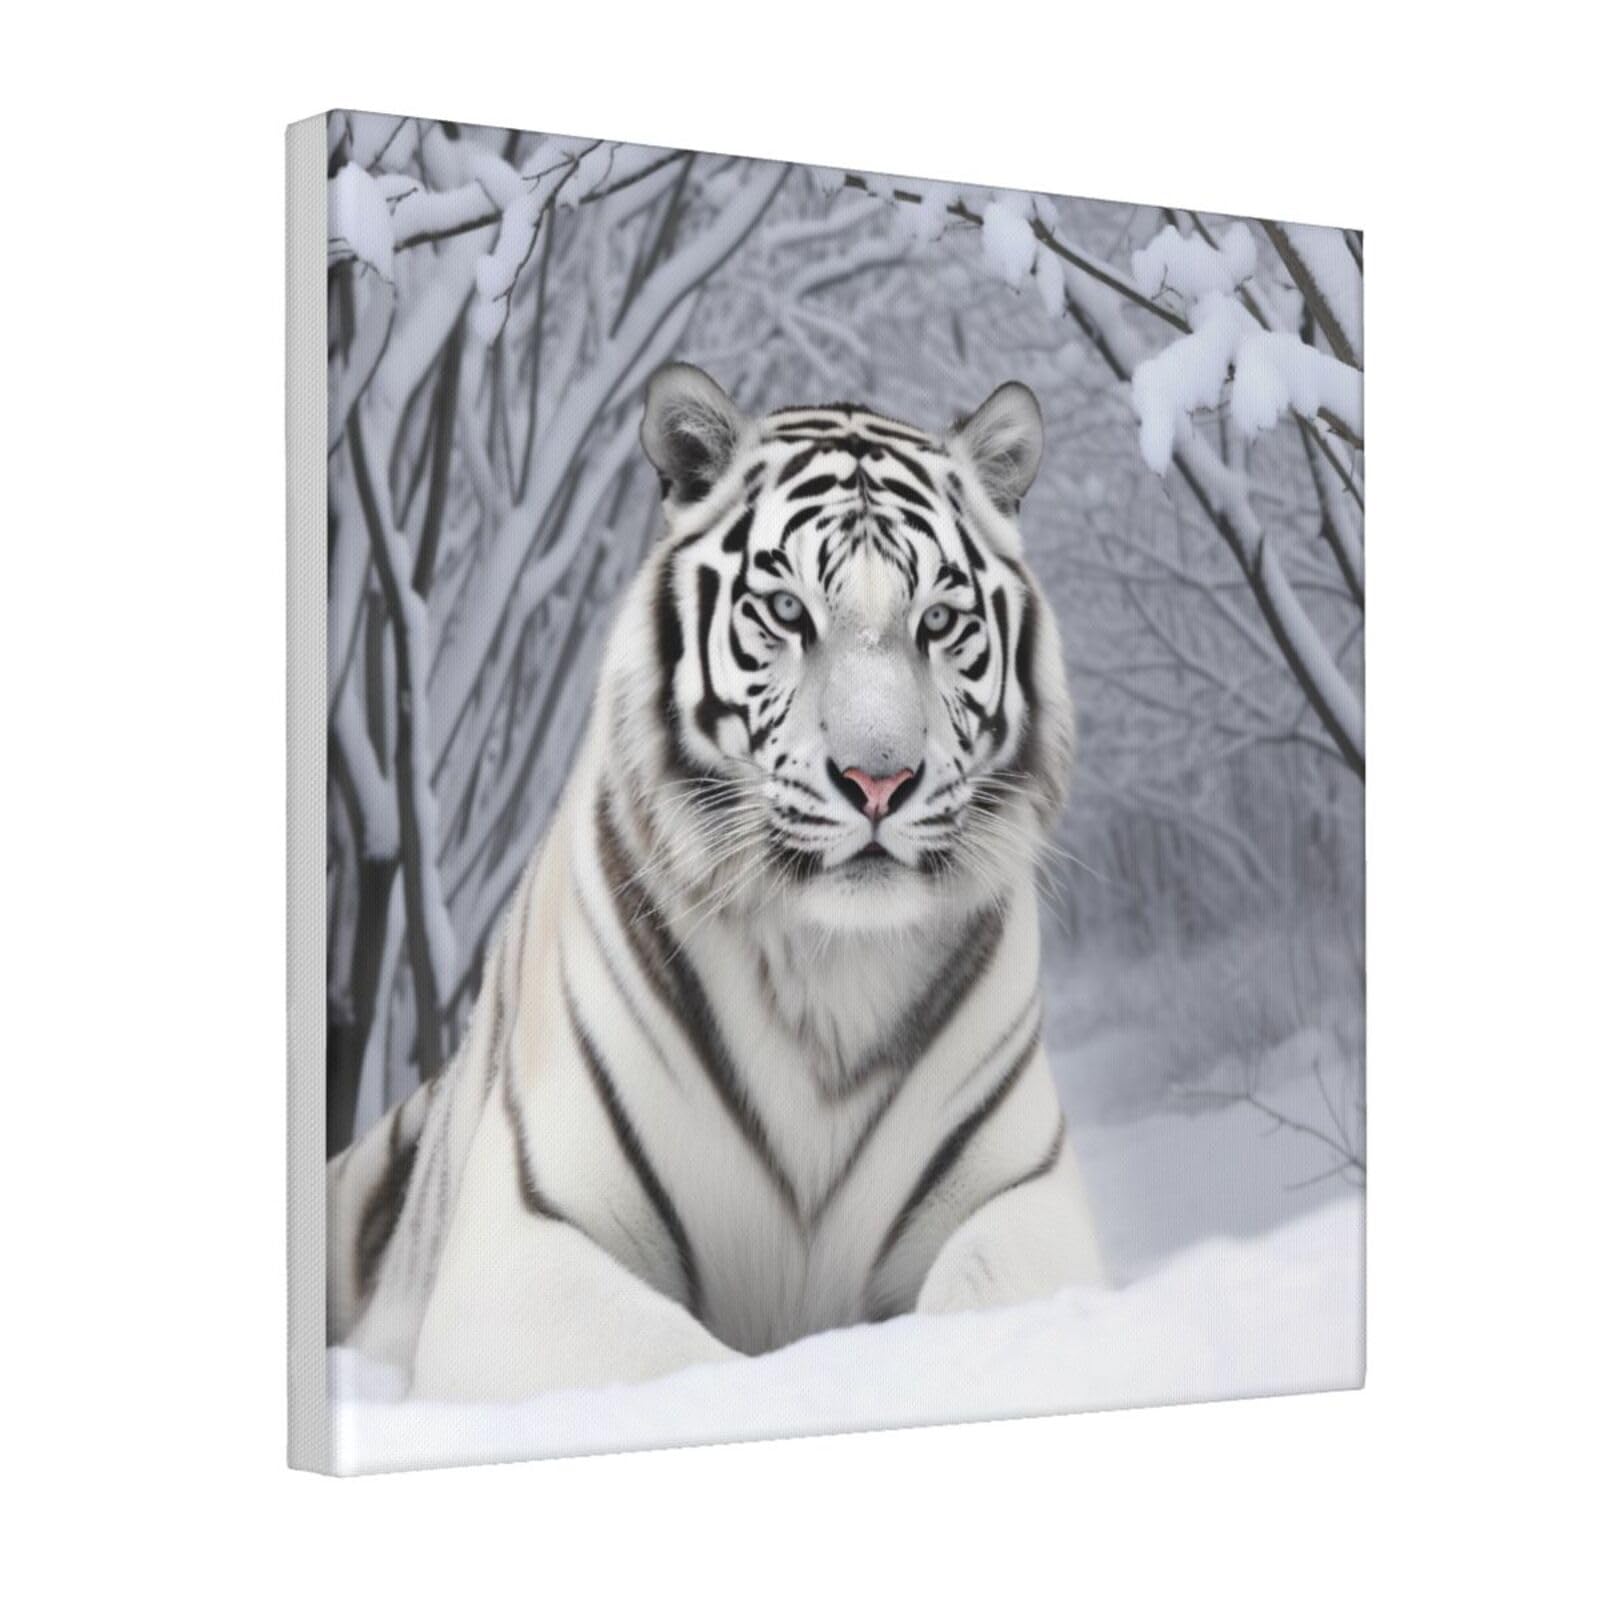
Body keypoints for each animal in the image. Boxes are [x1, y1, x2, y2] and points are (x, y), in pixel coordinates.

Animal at [327, 364, 1105, 1400]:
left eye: (939, 620)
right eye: (787, 613)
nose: (880, 780)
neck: (829, 972)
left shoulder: (1026, 1201)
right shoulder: (524, 1246)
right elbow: (691, 1369)